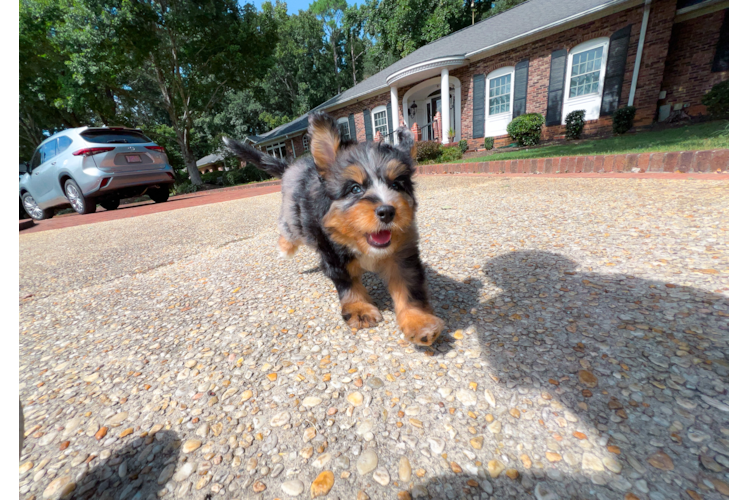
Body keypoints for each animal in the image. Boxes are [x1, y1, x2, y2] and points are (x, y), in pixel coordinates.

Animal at [222, 111, 444, 346]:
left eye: (396, 185)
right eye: (355, 189)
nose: (387, 211)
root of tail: (294, 166)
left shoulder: (402, 255)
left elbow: (408, 288)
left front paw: (419, 321)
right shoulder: (333, 254)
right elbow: (348, 285)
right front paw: (359, 309)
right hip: (294, 216)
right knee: (288, 228)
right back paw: (285, 249)